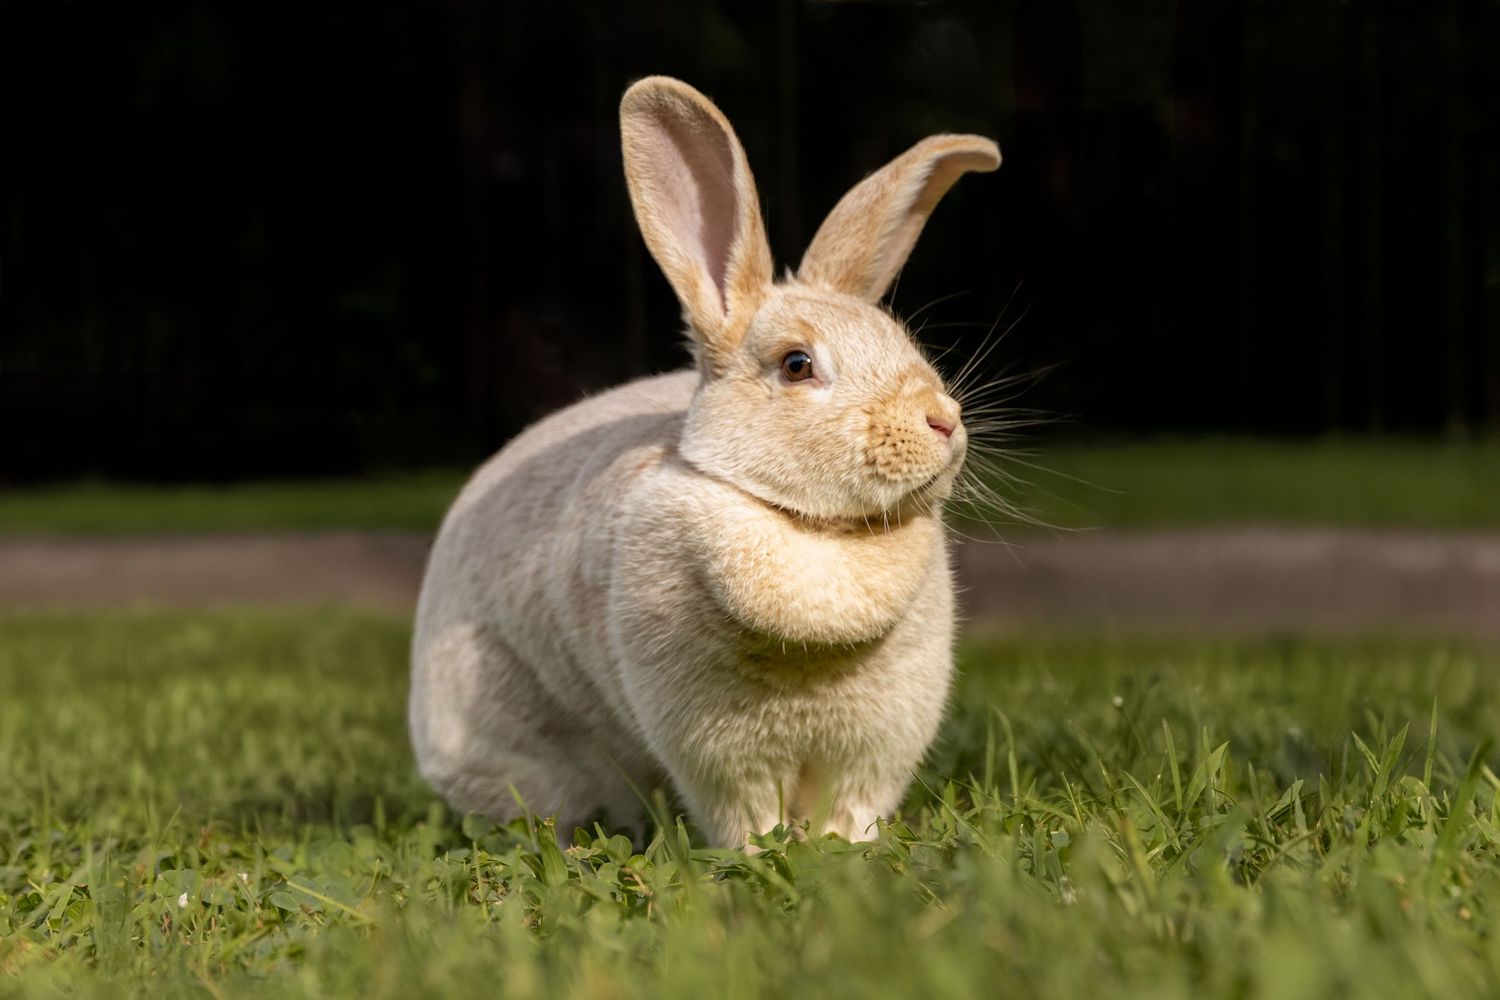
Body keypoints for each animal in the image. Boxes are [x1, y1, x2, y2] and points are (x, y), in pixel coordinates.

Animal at [409, 76, 1000, 848]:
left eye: (902, 340)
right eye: (797, 364)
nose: (943, 420)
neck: (812, 528)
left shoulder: (876, 745)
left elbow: (853, 808)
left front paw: (845, 850)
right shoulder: (714, 749)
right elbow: (745, 814)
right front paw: (759, 853)